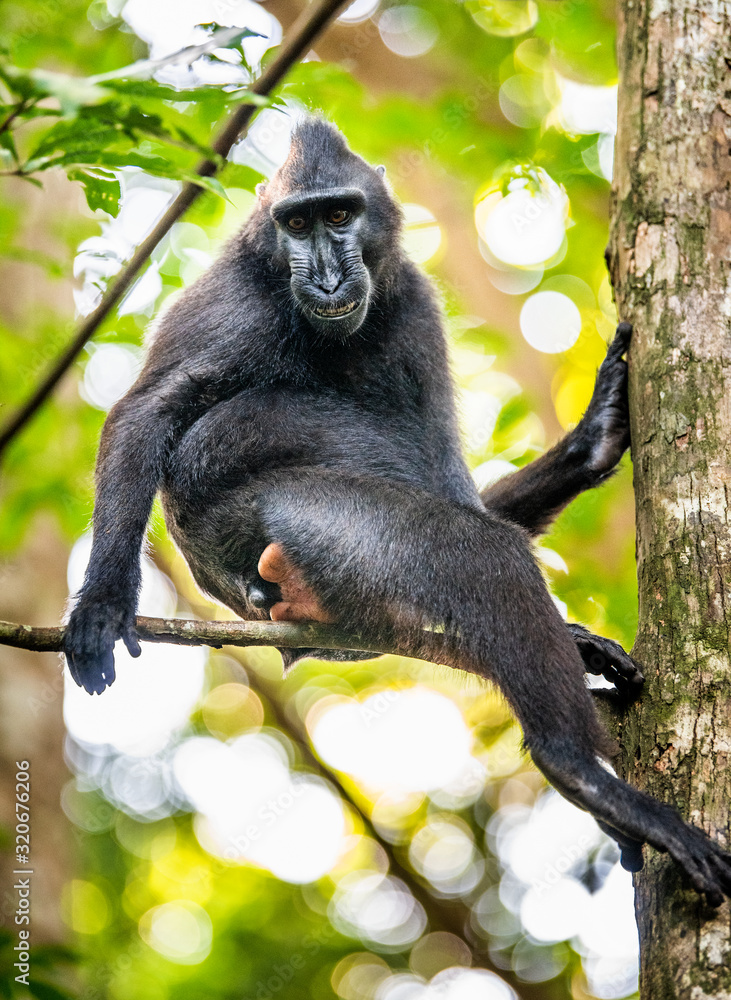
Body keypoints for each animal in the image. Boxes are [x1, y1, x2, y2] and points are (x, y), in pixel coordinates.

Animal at [64, 117, 731, 905]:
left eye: (340, 214)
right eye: (295, 224)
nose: (326, 276)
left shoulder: (412, 300)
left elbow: (441, 455)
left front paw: (589, 446)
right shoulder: (231, 298)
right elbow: (148, 412)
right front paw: (102, 606)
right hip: (292, 520)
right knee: (475, 548)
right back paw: (579, 770)